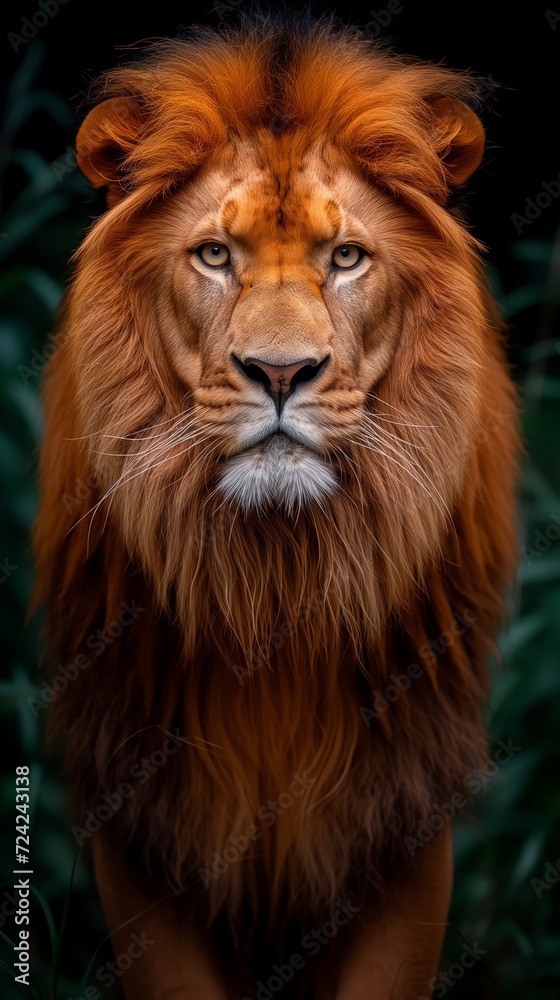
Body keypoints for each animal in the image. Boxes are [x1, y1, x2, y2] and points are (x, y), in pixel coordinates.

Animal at [32, 13, 520, 1000]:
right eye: (216, 255)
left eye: (346, 257)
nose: (283, 372)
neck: (277, 582)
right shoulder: (142, 813)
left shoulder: (408, 804)